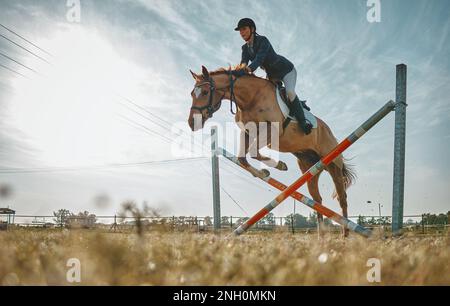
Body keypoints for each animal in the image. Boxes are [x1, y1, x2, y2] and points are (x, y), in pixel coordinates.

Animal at [186, 65, 356, 237]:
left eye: (205, 92)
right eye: (192, 94)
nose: (192, 123)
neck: (250, 97)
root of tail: (328, 130)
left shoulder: (272, 130)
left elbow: (254, 152)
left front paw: (279, 165)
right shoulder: (248, 132)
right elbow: (243, 158)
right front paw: (263, 173)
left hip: (333, 164)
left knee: (342, 197)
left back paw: (345, 234)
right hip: (310, 167)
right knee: (317, 199)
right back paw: (321, 235)